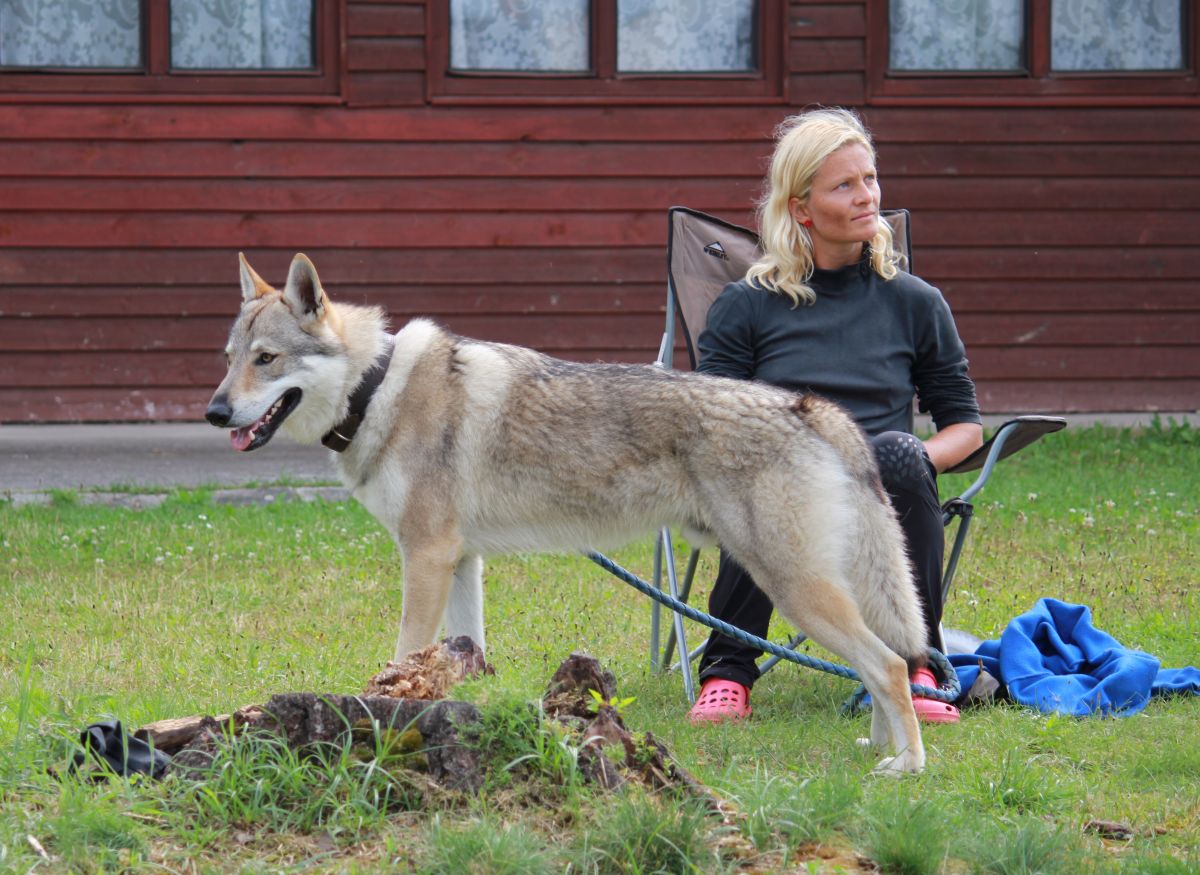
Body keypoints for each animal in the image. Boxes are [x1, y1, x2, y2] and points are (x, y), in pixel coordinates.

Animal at [206, 252, 931, 772]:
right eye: (230, 359)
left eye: (266, 359)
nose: (215, 411)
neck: (377, 386)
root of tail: (813, 407)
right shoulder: (460, 562)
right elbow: (466, 660)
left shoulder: (426, 558)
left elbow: (402, 657)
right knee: (881, 662)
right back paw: (879, 749)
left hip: (795, 589)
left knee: (891, 665)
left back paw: (907, 766)